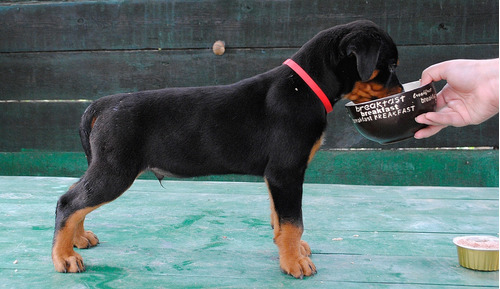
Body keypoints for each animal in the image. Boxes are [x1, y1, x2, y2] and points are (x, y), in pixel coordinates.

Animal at [51, 19, 402, 276]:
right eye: (391, 65)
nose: (400, 89)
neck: (304, 86)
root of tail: (105, 103)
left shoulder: (275, 177)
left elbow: (280, 220)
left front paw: (292, 251)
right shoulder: (286, 171)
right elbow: (293, 221)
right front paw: (295, 263)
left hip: (106, 167)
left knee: (77, 198)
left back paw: (78, 240)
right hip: (115, 170)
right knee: (69, 201)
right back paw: (63, 257)